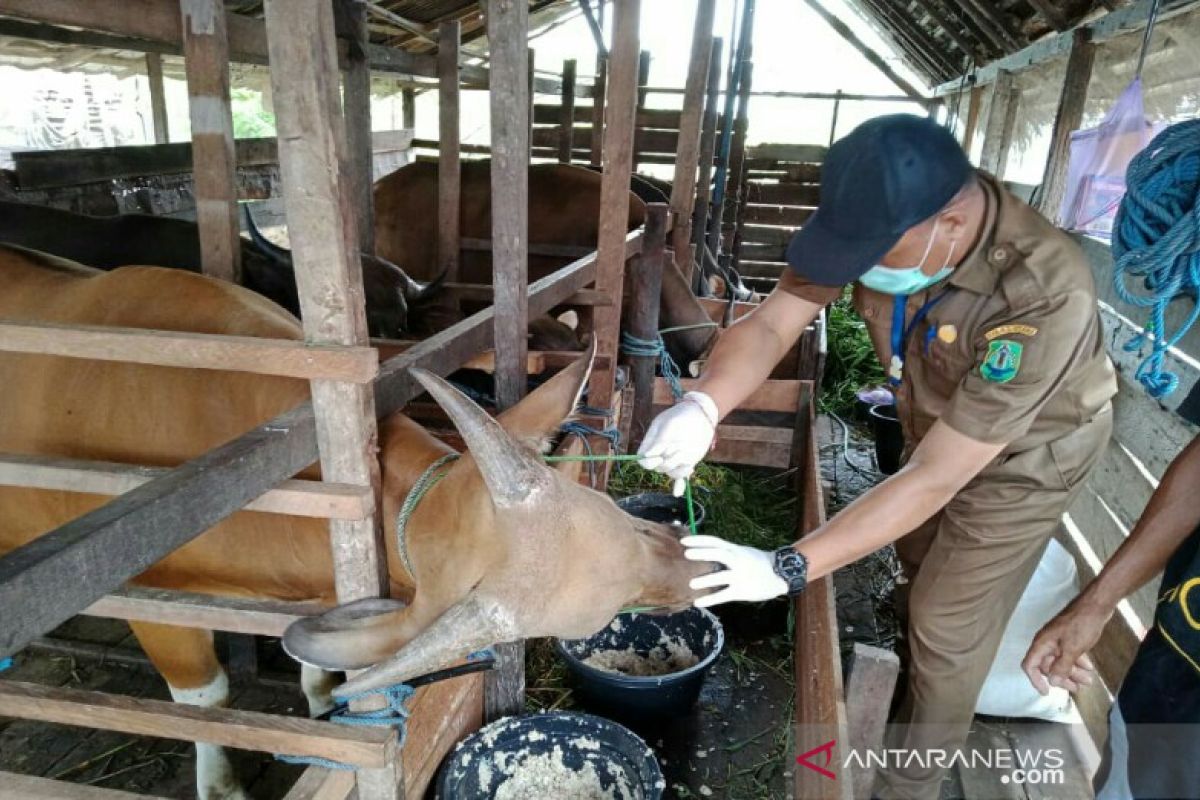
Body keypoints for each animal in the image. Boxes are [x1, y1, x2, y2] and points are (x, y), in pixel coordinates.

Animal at [0, 245, 705, 800]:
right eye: (604, 607)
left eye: (626, 523)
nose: (691, 563)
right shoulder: (155, 605)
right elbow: (204, 705)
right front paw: (222, 785)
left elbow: (320, 671)